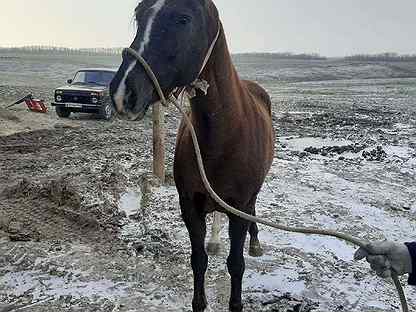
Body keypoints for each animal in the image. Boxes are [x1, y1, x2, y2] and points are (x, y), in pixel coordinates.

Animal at [109, 1, 274, 310]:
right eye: (139, 16)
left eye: (183, 19)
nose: (123, 92)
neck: (224, 137)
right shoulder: (190, 206)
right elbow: (198, 261)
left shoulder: (240, 206)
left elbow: (236, 264)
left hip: (250, 197)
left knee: (253, 210)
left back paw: (255, 242)